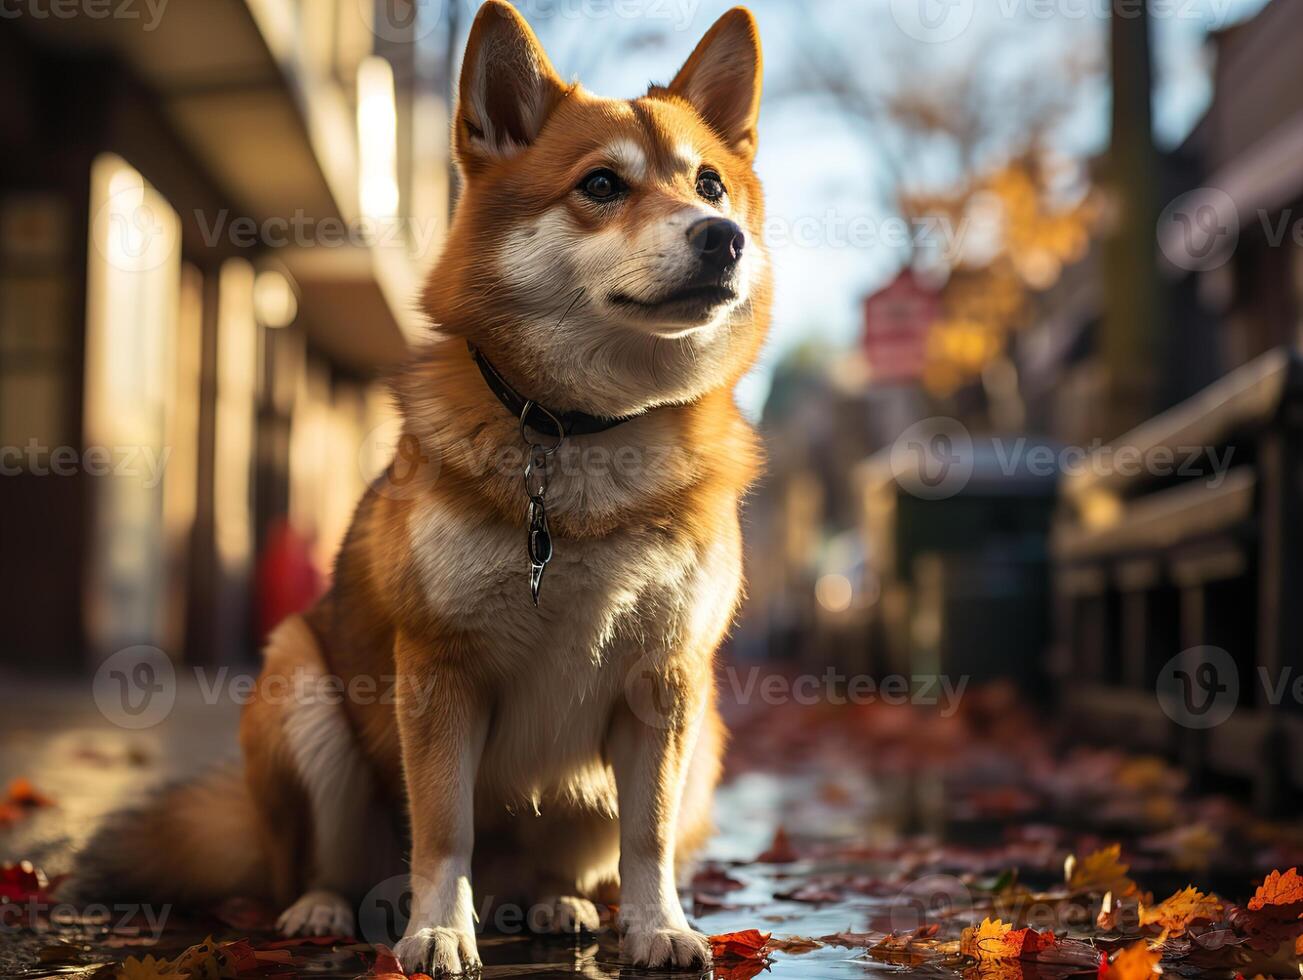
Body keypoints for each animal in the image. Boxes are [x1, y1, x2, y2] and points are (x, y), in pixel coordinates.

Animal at [76, 0, 766, 974]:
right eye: (601, 185)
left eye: (708, 185)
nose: (722, 238)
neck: (583, 432)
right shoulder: (439, 671)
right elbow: (444, 828)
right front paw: (437, 929)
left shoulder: (664, 683)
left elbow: (649, 835)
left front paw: (657, 924)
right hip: (300, 688)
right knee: (317, 863)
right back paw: (326, 909)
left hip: (701, 744)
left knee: (573, 863)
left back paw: (559, 902)